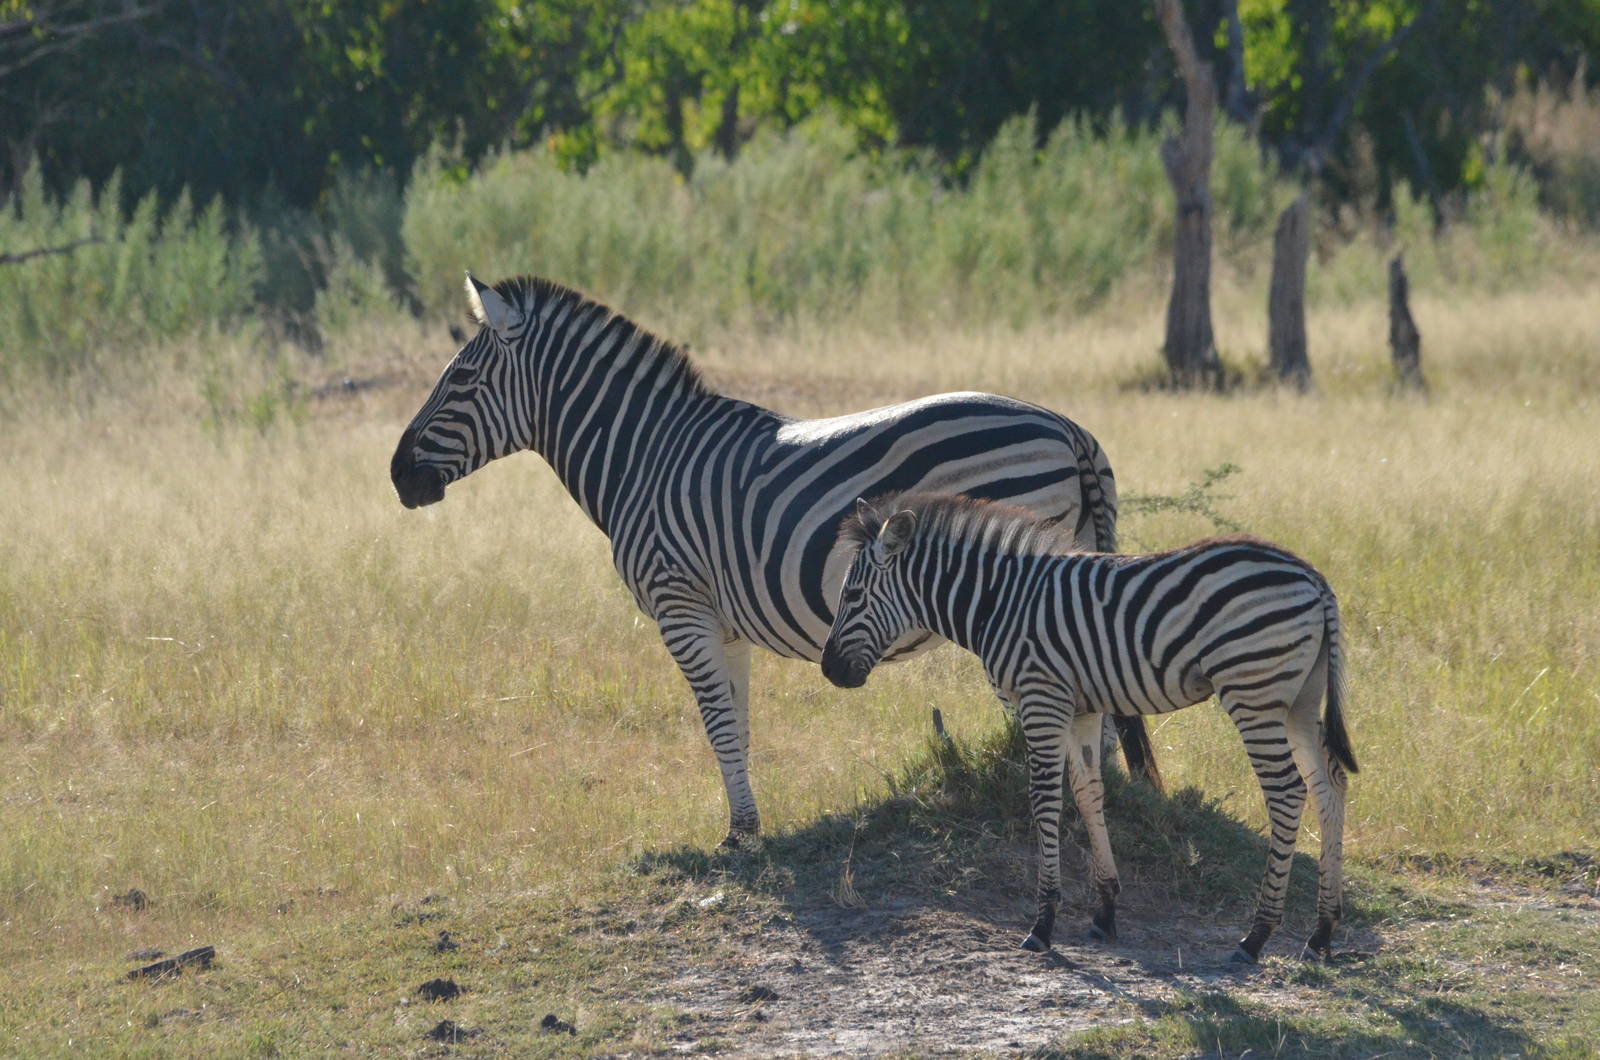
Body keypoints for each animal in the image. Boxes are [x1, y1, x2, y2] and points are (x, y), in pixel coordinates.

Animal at [390, 273, 1158, 848]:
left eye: (461, 378)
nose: (398, 475)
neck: (643, 457)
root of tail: (1066, 428)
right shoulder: (722, 622)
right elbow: (738, 721)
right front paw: (747, 821)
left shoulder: (679, 606)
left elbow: (715, 723)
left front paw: (739, 837)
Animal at [821, 494, 1356, 962]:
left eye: (852, 595)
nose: (829, 671)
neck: (999, 602)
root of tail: (1313, 576)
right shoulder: (1082, 708)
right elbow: (1088, 792)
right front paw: (1105, 910)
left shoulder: (1041, 697)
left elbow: (1044, 797)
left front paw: (1043, 923)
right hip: (1299, 700)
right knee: (1328, 783)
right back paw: (1322, 932)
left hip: (1254, 691)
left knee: (1287, 791)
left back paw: (1256, 936)